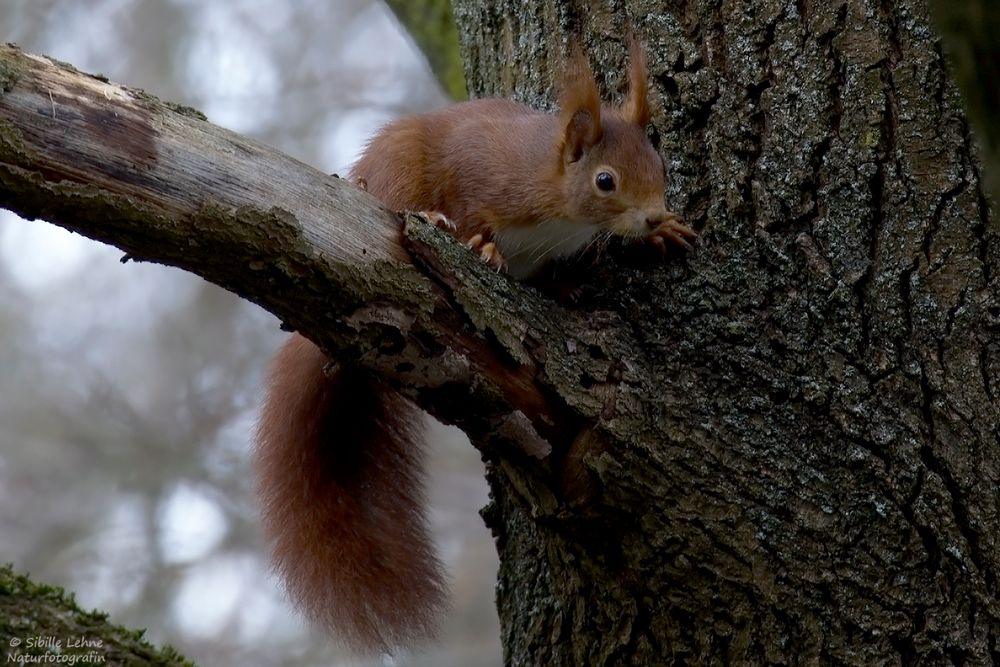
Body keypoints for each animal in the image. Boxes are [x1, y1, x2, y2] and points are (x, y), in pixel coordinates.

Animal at [258, 39, 696, 656]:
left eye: (658, 165)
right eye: (605, 180)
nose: (653, 212)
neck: (559, 211)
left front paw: (659, 234)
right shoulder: (482, 172)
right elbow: (470, 212)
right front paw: (482, 247)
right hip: (396, 167)